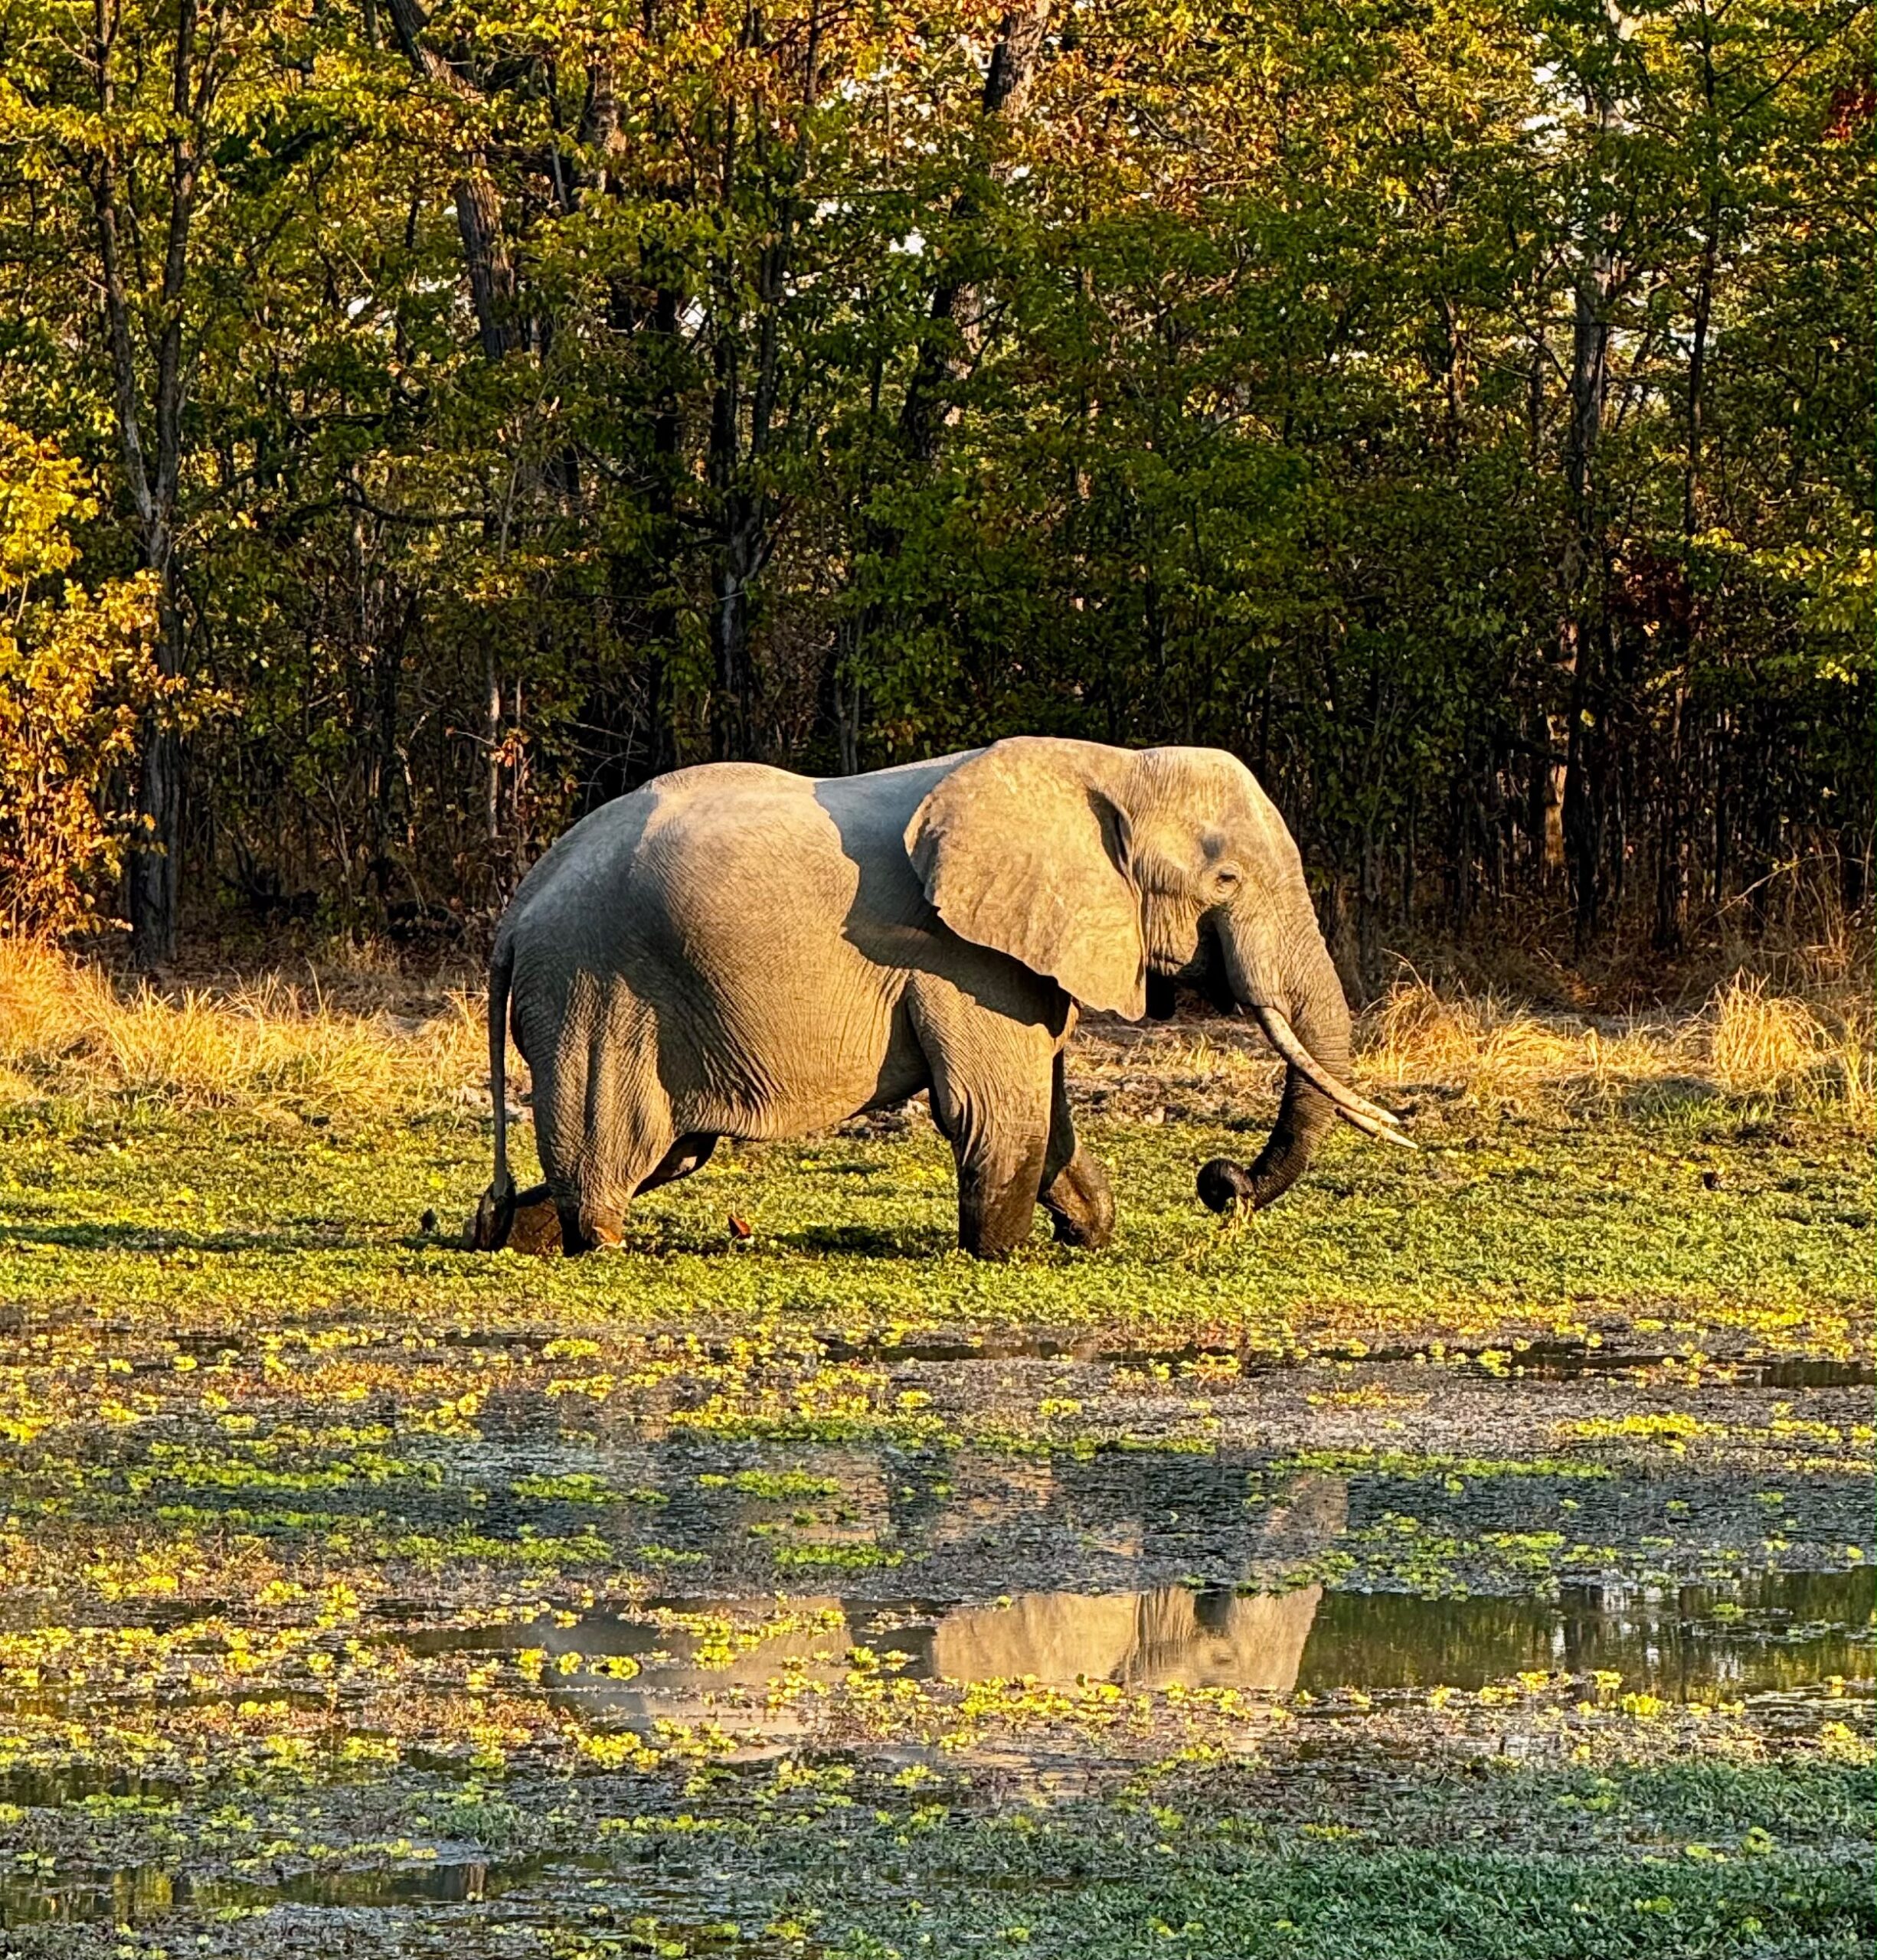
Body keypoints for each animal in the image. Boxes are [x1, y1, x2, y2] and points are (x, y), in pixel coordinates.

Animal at [471, 737, 1409, 1258]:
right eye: (1227, 881)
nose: (1222, 1185)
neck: (1108, 767)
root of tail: (515, 914)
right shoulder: (962, 955)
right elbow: (999, 1112)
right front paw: (1002, 1257)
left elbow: (1047, 1117)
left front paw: (1088, 1234)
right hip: (595, 990)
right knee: (615, 1158)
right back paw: (597, 1245)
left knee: (662, 1157)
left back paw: (498, 1234)